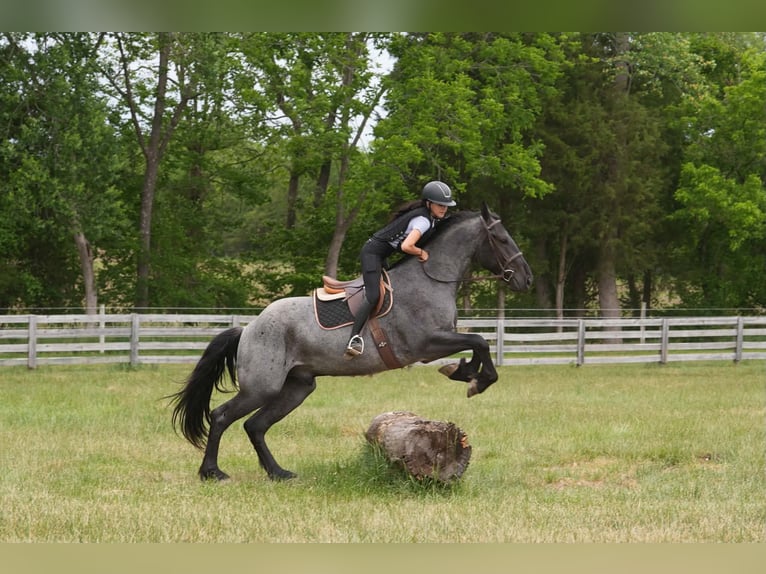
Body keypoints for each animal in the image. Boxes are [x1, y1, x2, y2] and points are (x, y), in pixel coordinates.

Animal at [169, 203, 533, 481]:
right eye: (502, 238)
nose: (526, 279)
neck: (431, 279)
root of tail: (247, 329)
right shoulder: (427, 344)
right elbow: (479, 340)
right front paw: (474, 378)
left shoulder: (437, 343)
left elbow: (477, 343)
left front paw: (465, 372)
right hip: (261, 387)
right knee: (221, 417)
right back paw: (212, 472)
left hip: (298, 387)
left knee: (255, 426)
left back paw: (278, 472)